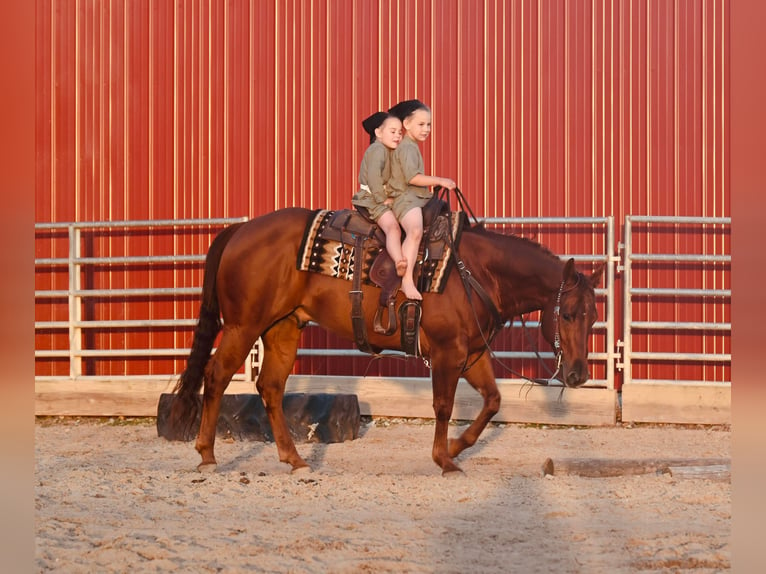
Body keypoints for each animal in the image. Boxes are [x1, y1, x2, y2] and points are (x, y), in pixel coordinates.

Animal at [172, 207, 608, 476]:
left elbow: (492, 402)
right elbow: (444, 406)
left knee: (270, 387)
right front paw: (444, 459)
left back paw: (294, 459)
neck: (474, 274)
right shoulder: (448, 354)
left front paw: (456, 447)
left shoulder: (472, 354)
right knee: (216, 376)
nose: (577, 374)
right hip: (244, 325)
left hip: (283, 327)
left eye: (593, 317)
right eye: (567, 314)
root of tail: (240, 230)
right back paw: (207, 456)